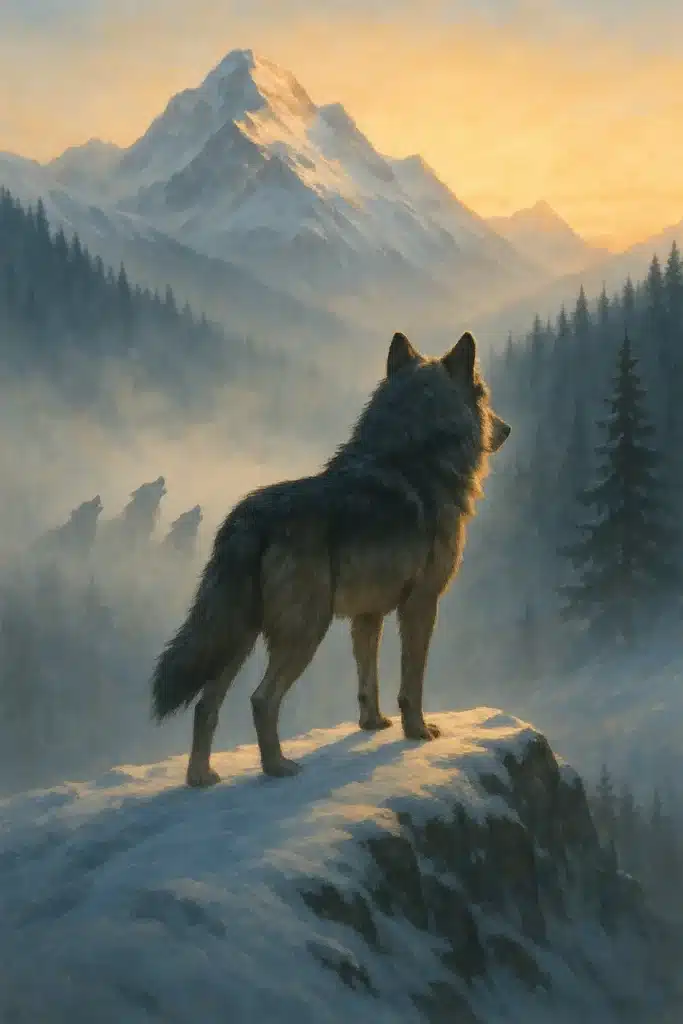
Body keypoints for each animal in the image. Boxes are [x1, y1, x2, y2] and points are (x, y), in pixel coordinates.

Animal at [151, 331, 510, 785]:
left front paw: (372, 725)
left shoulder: (368, 616)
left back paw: (201, 777)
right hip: (305, 631)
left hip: (240, 637)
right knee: (261, 699)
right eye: (484, 395)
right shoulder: (420, 605)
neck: (414, 456)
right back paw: (277, 767)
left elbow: (368, 682)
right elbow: (411, 684)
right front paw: (417, 732)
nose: (507, 429)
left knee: (205, 705)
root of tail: (248, 519)